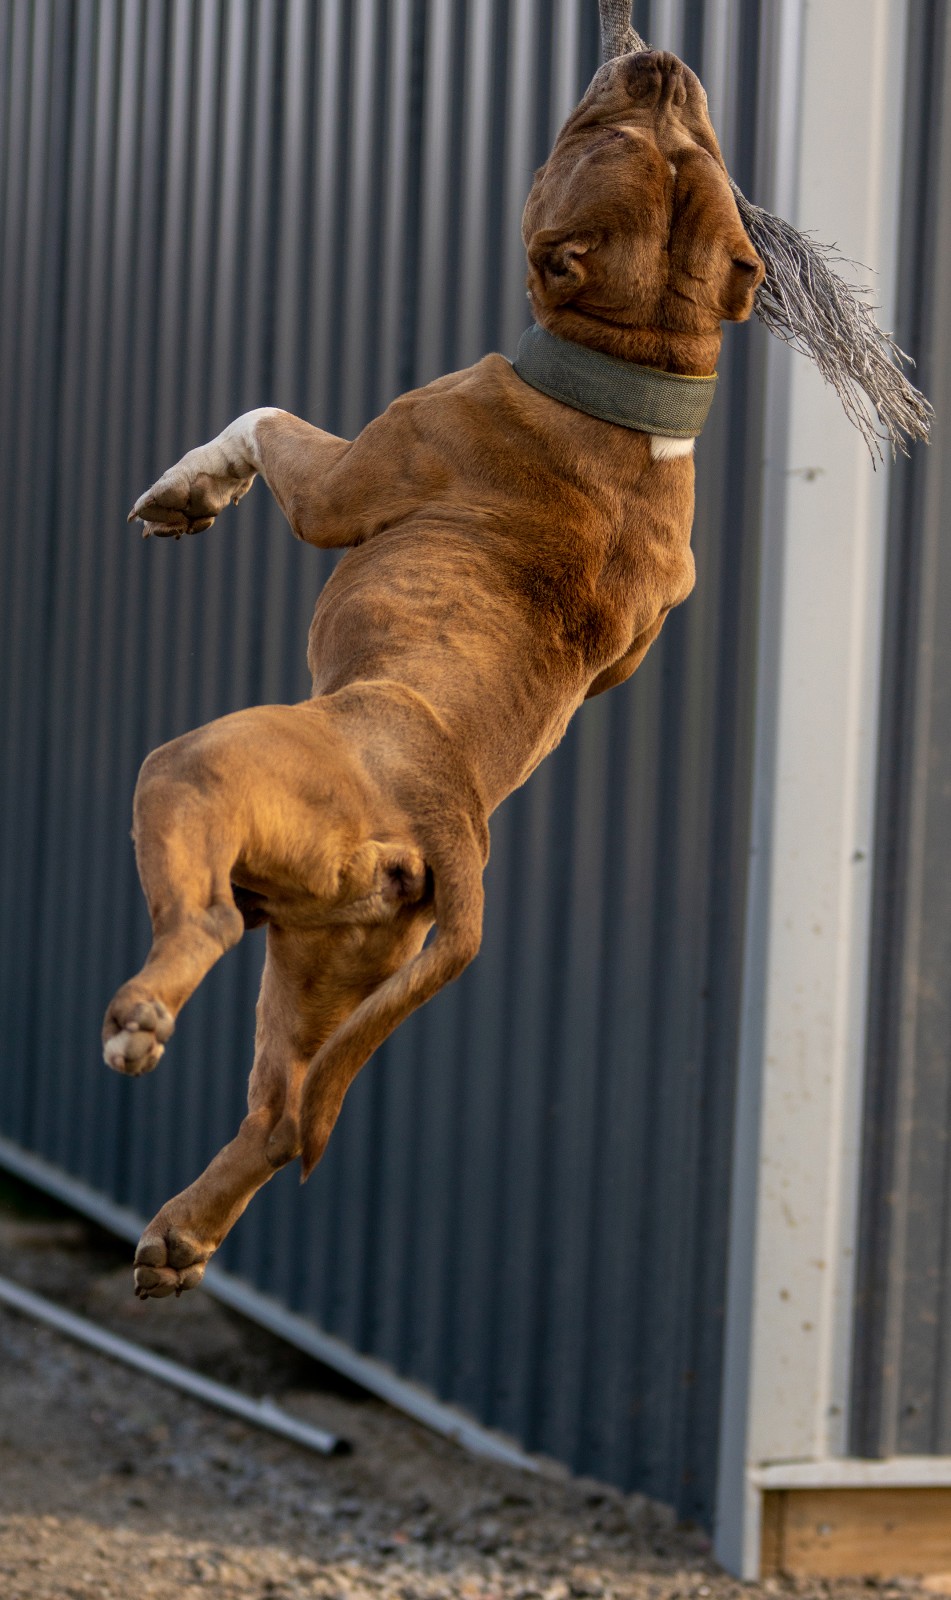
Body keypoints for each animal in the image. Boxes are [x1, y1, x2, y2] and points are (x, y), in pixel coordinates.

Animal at [100, 53, 758, 1299]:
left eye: (599, 133)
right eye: (684, 142)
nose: (657, 61)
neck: (634, 374)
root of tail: (447, 826)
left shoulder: (343, 477)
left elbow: (263, 416)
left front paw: (190, 488)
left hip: (195, 778)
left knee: (201, 923)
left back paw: (143, 1018)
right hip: (325, 964)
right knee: (284, 1111)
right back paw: (182, 1234)